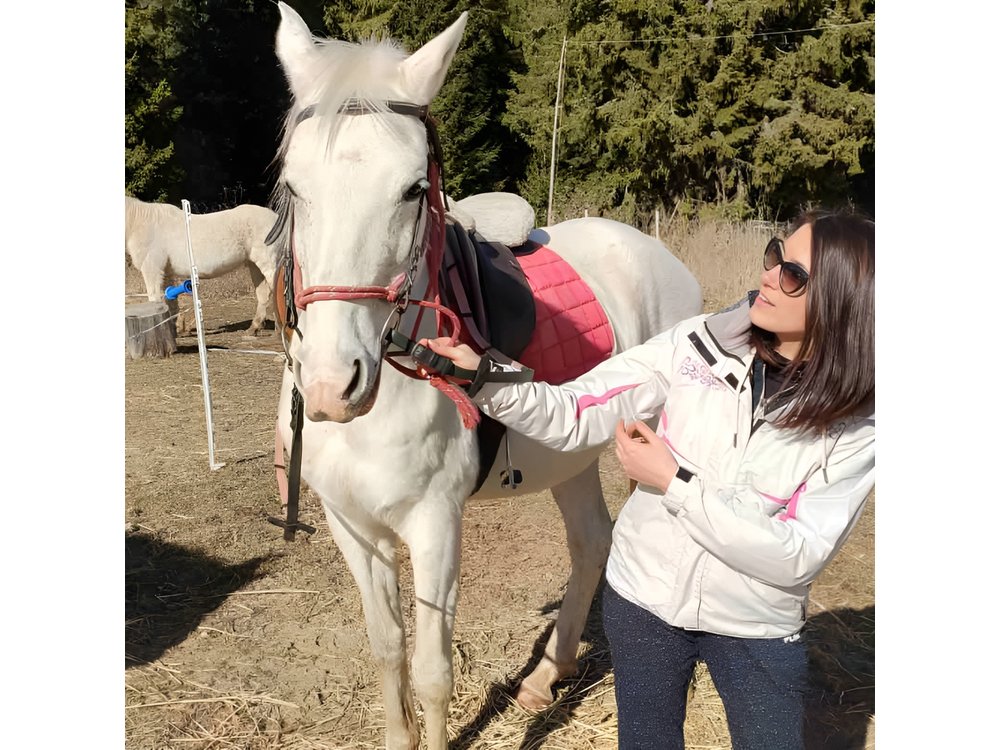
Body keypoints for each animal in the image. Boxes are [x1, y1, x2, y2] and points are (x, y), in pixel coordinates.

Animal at [124, 195, 280, 335]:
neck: (140, 224)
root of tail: (276, 217)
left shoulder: (152, 270)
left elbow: (155, 299)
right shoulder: (166, 273)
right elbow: (170, 301)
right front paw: (177, 328)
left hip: (269, 263)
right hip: (254, 265)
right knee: (263, 294)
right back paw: (254, 328)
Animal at [267, 3, 703, 748]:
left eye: (413, 190)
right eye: (295, 186)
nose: (331, 385)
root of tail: (660, 256)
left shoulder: (435, 524)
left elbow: (432, 672)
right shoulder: (351, 524)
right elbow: (387, 648)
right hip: (574, 454)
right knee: (592, 539)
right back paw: (543, 677)